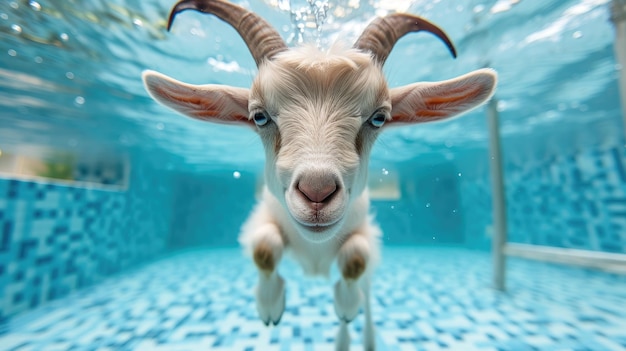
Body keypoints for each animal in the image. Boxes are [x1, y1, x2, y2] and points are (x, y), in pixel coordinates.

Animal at [143, 1, 498, 350]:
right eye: (259, 116)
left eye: (379, 118)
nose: (317, 192)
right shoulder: (265, 216)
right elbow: (264, 247)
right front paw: (270, 306)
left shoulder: (365, 230)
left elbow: (355, 258)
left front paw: (347, 304)